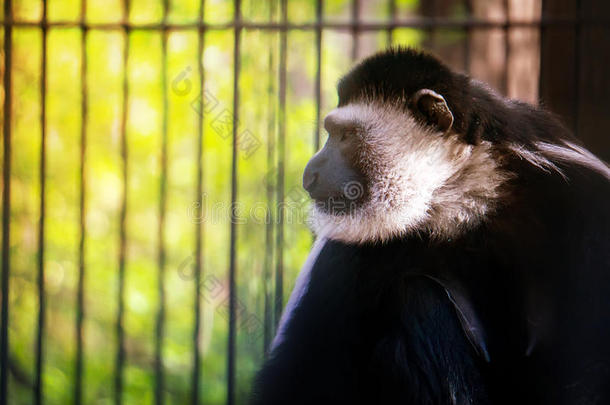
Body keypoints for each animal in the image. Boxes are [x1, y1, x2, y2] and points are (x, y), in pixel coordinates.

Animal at [247, 48, 608, 404]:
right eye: (331, 133)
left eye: (344, 135)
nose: (310, 173)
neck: (459, 198)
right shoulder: (348, 252)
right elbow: (304, 369)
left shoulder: (582, 201)